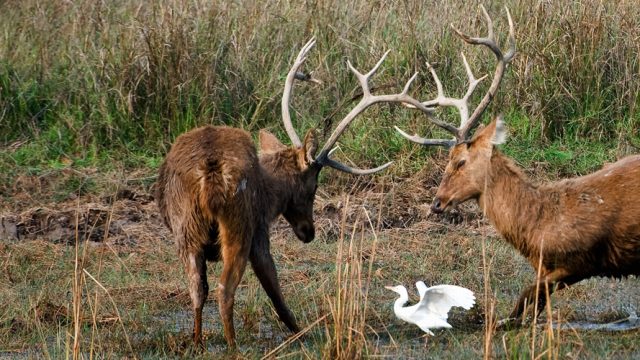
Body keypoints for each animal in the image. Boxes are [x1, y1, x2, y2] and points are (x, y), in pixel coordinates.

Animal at [155, 38, 440, 348]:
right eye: (314, 186)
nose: (309, 231)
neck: (270, 192)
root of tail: (210, 173)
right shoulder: (260, 229)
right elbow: (274, 288)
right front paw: (302, 332)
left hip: (185, 228)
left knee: (197, 289)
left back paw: (197, 341)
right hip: (239, 223)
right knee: (224, 288)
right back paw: (233, 345)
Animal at [396, 5, 640, 326]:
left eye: (459, 161)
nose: (436, 202)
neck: (539, 227)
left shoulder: (580, 259)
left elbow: (523, 300)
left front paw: (497, 320)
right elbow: (530, 305)